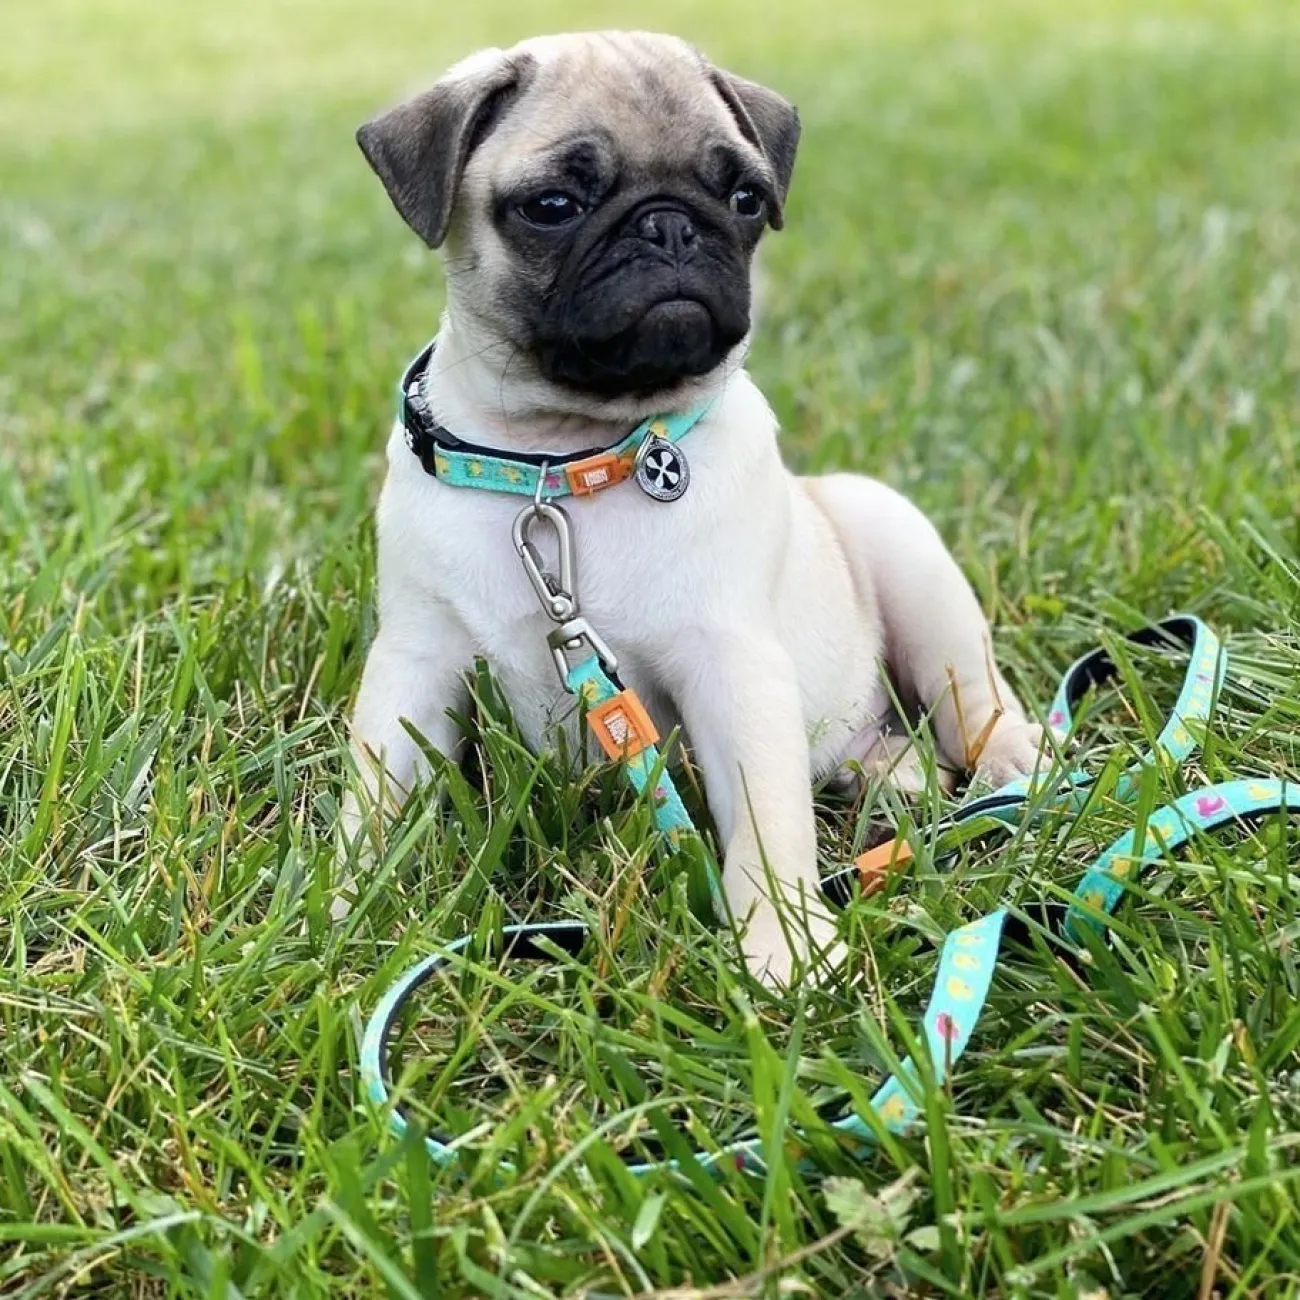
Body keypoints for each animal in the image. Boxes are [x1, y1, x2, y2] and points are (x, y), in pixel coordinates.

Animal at [345, 30, 1045, 982]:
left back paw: (1014, 764)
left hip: (906, 560)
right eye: (553, 206)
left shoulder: (732, 667)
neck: (559, 465)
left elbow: (766, 827)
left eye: (746, 198)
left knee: (972, 694)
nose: (670, 224)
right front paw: (342, 916)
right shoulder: (416, 661)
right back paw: (893, 775)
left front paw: (786, 951)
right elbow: (374, 795)